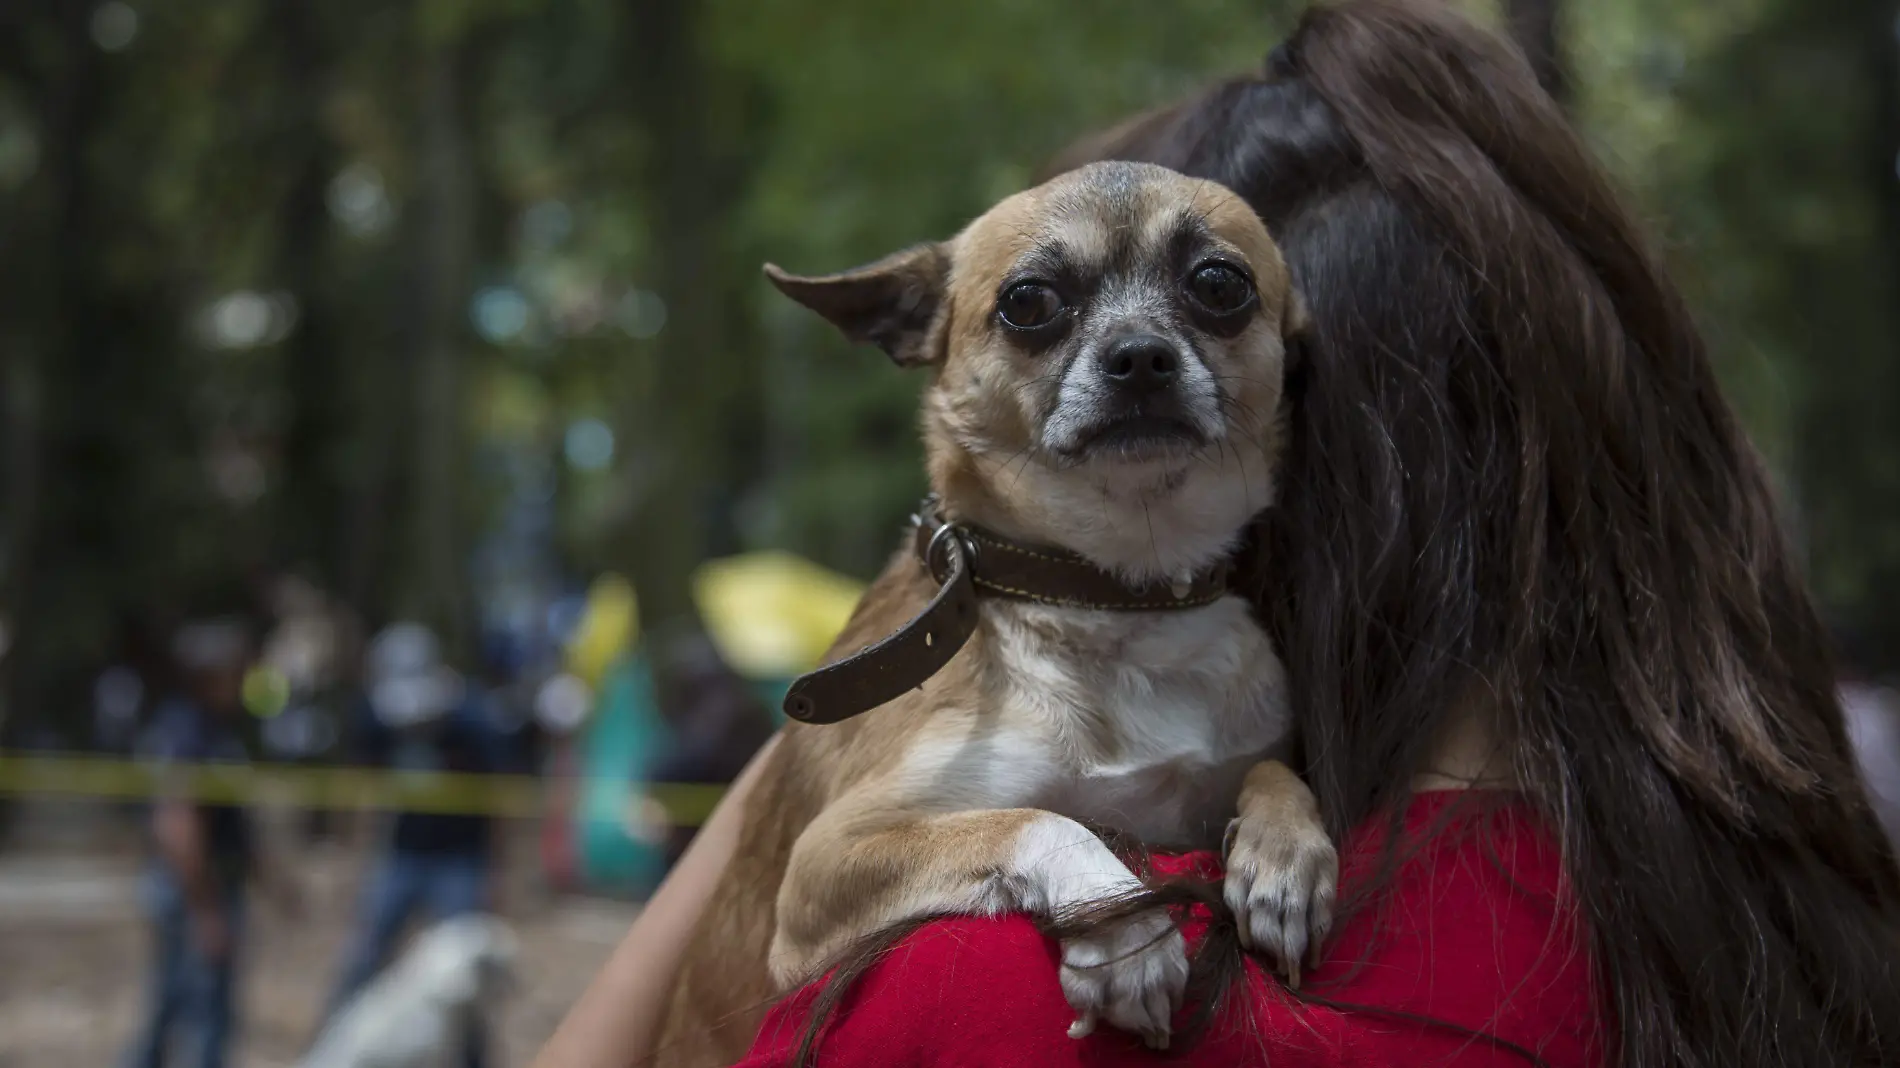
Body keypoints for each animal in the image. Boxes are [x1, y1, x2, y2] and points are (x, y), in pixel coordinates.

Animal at [653, 162, 1337, 1056]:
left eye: (1220, 284)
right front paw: (1125, 934)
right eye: (1029, 301)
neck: (1116, 597)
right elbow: (1037, 820)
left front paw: (1287, 855)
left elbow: (1273, 768)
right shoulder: (828, 859)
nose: (1140, 356)